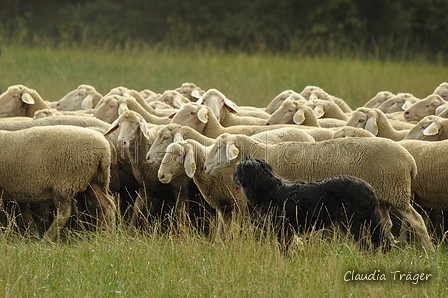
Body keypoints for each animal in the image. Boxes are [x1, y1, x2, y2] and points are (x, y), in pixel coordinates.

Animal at [233, 159, 390, 253]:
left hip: (352, 223)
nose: (232, 176)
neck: (270, 190)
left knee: (366, 247)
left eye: (237, 170)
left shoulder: (283, 229)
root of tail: (368, 188)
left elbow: (283, 250)